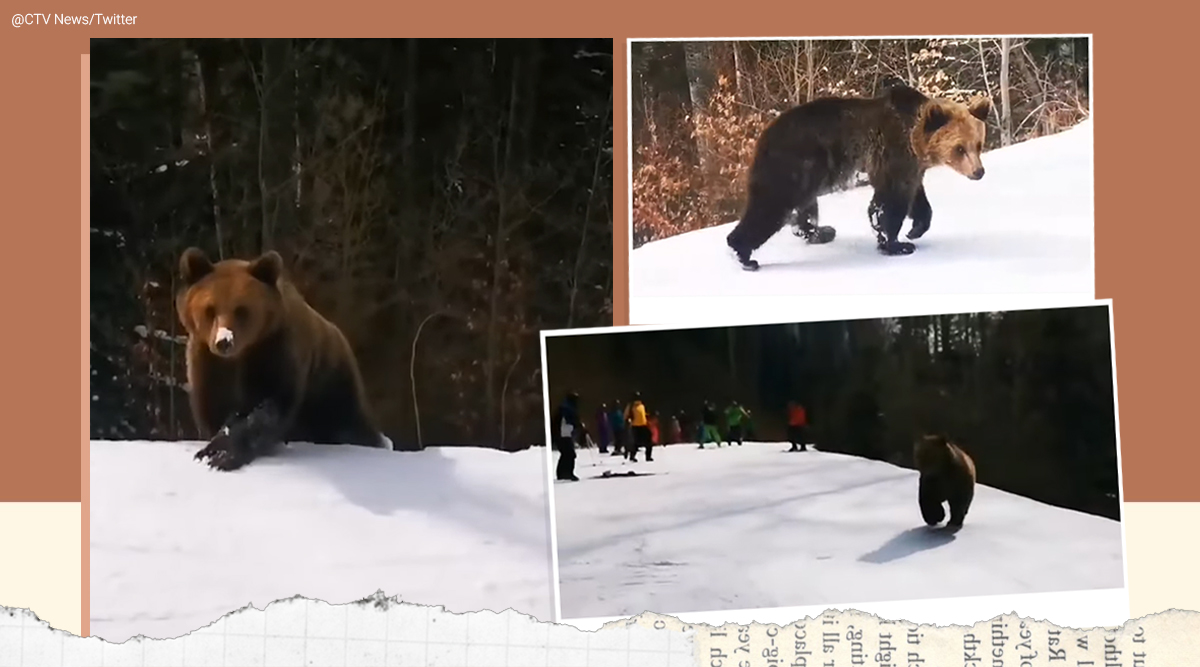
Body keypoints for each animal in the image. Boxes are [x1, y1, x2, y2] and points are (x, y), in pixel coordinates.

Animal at [175, 247, 391, 471]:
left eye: (242, 309)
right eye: (210, 309)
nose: (224, 341)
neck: (239, 358)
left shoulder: (275, 352)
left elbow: (268, 407)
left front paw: (225, 454)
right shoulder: (207, 364)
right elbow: (215, 407)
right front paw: (211, 449)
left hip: (331, 382)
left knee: (349, 421)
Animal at [725, 83, 992, 271]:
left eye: (978, 144)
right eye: (959, 148)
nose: (978, 172)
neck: (915, 140)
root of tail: (764, 136)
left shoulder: (912, 167)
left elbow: (917, 198)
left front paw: (915, 229)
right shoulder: (893, 153)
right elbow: (889, 202)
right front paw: (897, 243)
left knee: (805, 208)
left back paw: (819, 231)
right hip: (794, 165)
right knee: (770, 206)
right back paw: (743, 253)